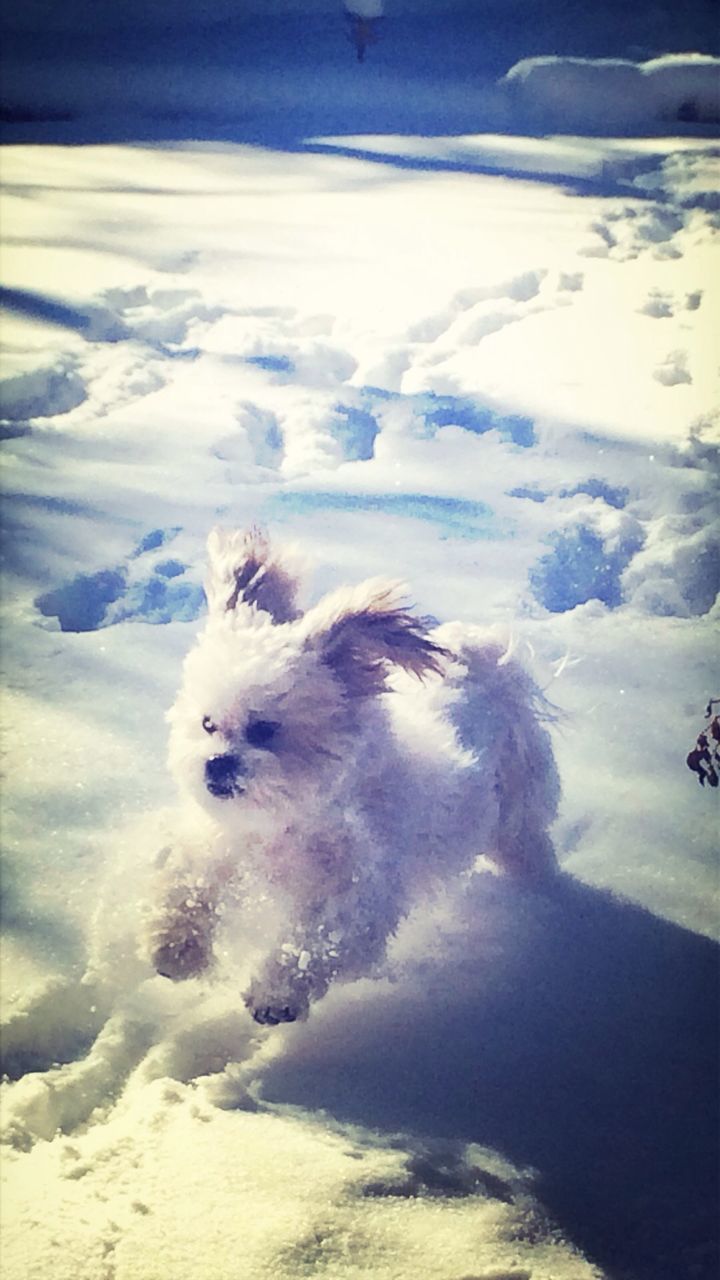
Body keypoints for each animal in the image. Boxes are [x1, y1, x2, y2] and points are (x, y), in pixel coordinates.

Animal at [146, 527, 558, 1018]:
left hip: (518, 796)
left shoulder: (359, 893)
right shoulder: (218, 842)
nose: (217, 763)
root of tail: (477, 653)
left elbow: (317, 940)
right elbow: (187, 883)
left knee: (524, 841)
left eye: (265, 729)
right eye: (208, 724)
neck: (287, 823)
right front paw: (176, 949)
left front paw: (276, 995)